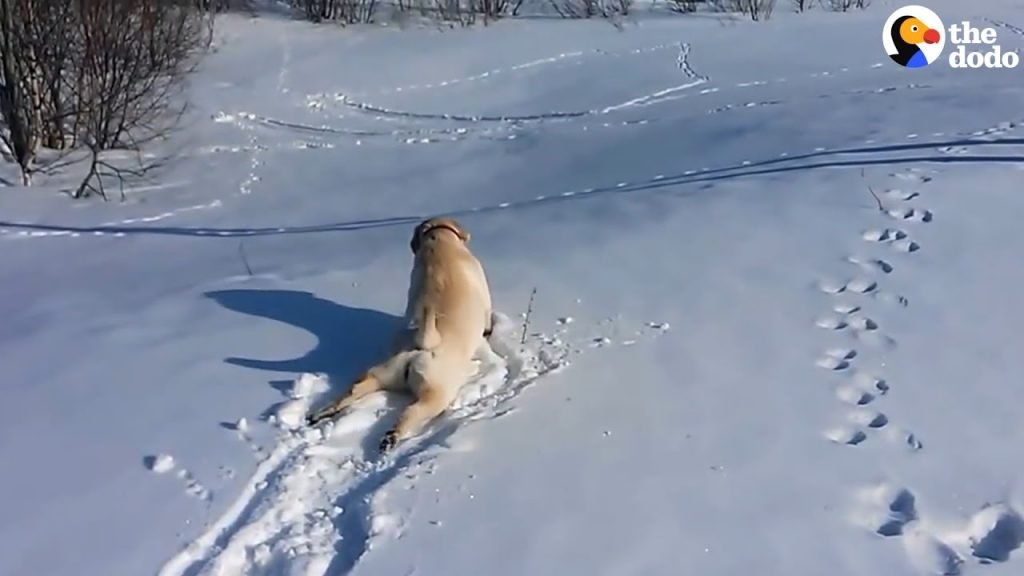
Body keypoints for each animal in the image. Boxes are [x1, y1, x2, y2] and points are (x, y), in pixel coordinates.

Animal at [301, 216, 493, 453]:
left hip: (381, 372)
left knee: (353, 391)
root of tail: (420, 347)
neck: (439, 245)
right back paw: (391, 438)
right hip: (436, 392)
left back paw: (322, 413)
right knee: (412, 412)